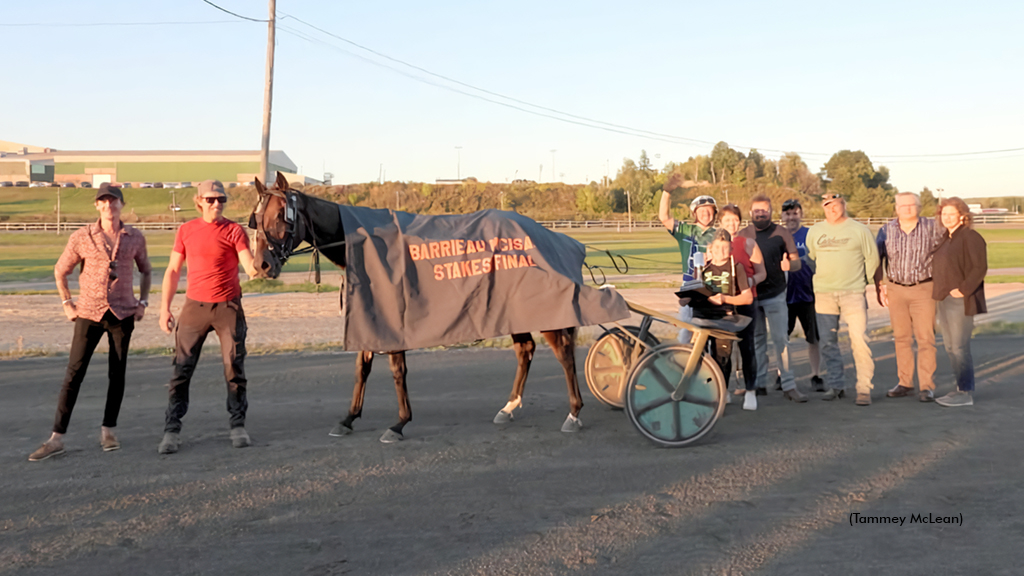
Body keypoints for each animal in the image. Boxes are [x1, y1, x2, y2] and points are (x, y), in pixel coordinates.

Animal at [247, 172, 585, 440]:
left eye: (281, 215)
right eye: (256, 219)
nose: (261, 265)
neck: (368, 247)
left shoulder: (396, 317)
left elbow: (397, 370)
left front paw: (399, 423)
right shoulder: (369, 314)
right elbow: (362, 367)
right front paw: (349, 418)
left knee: (564, 353)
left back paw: (574, 412)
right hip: (514, 310)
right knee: (525, 350)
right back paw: (509, 407)